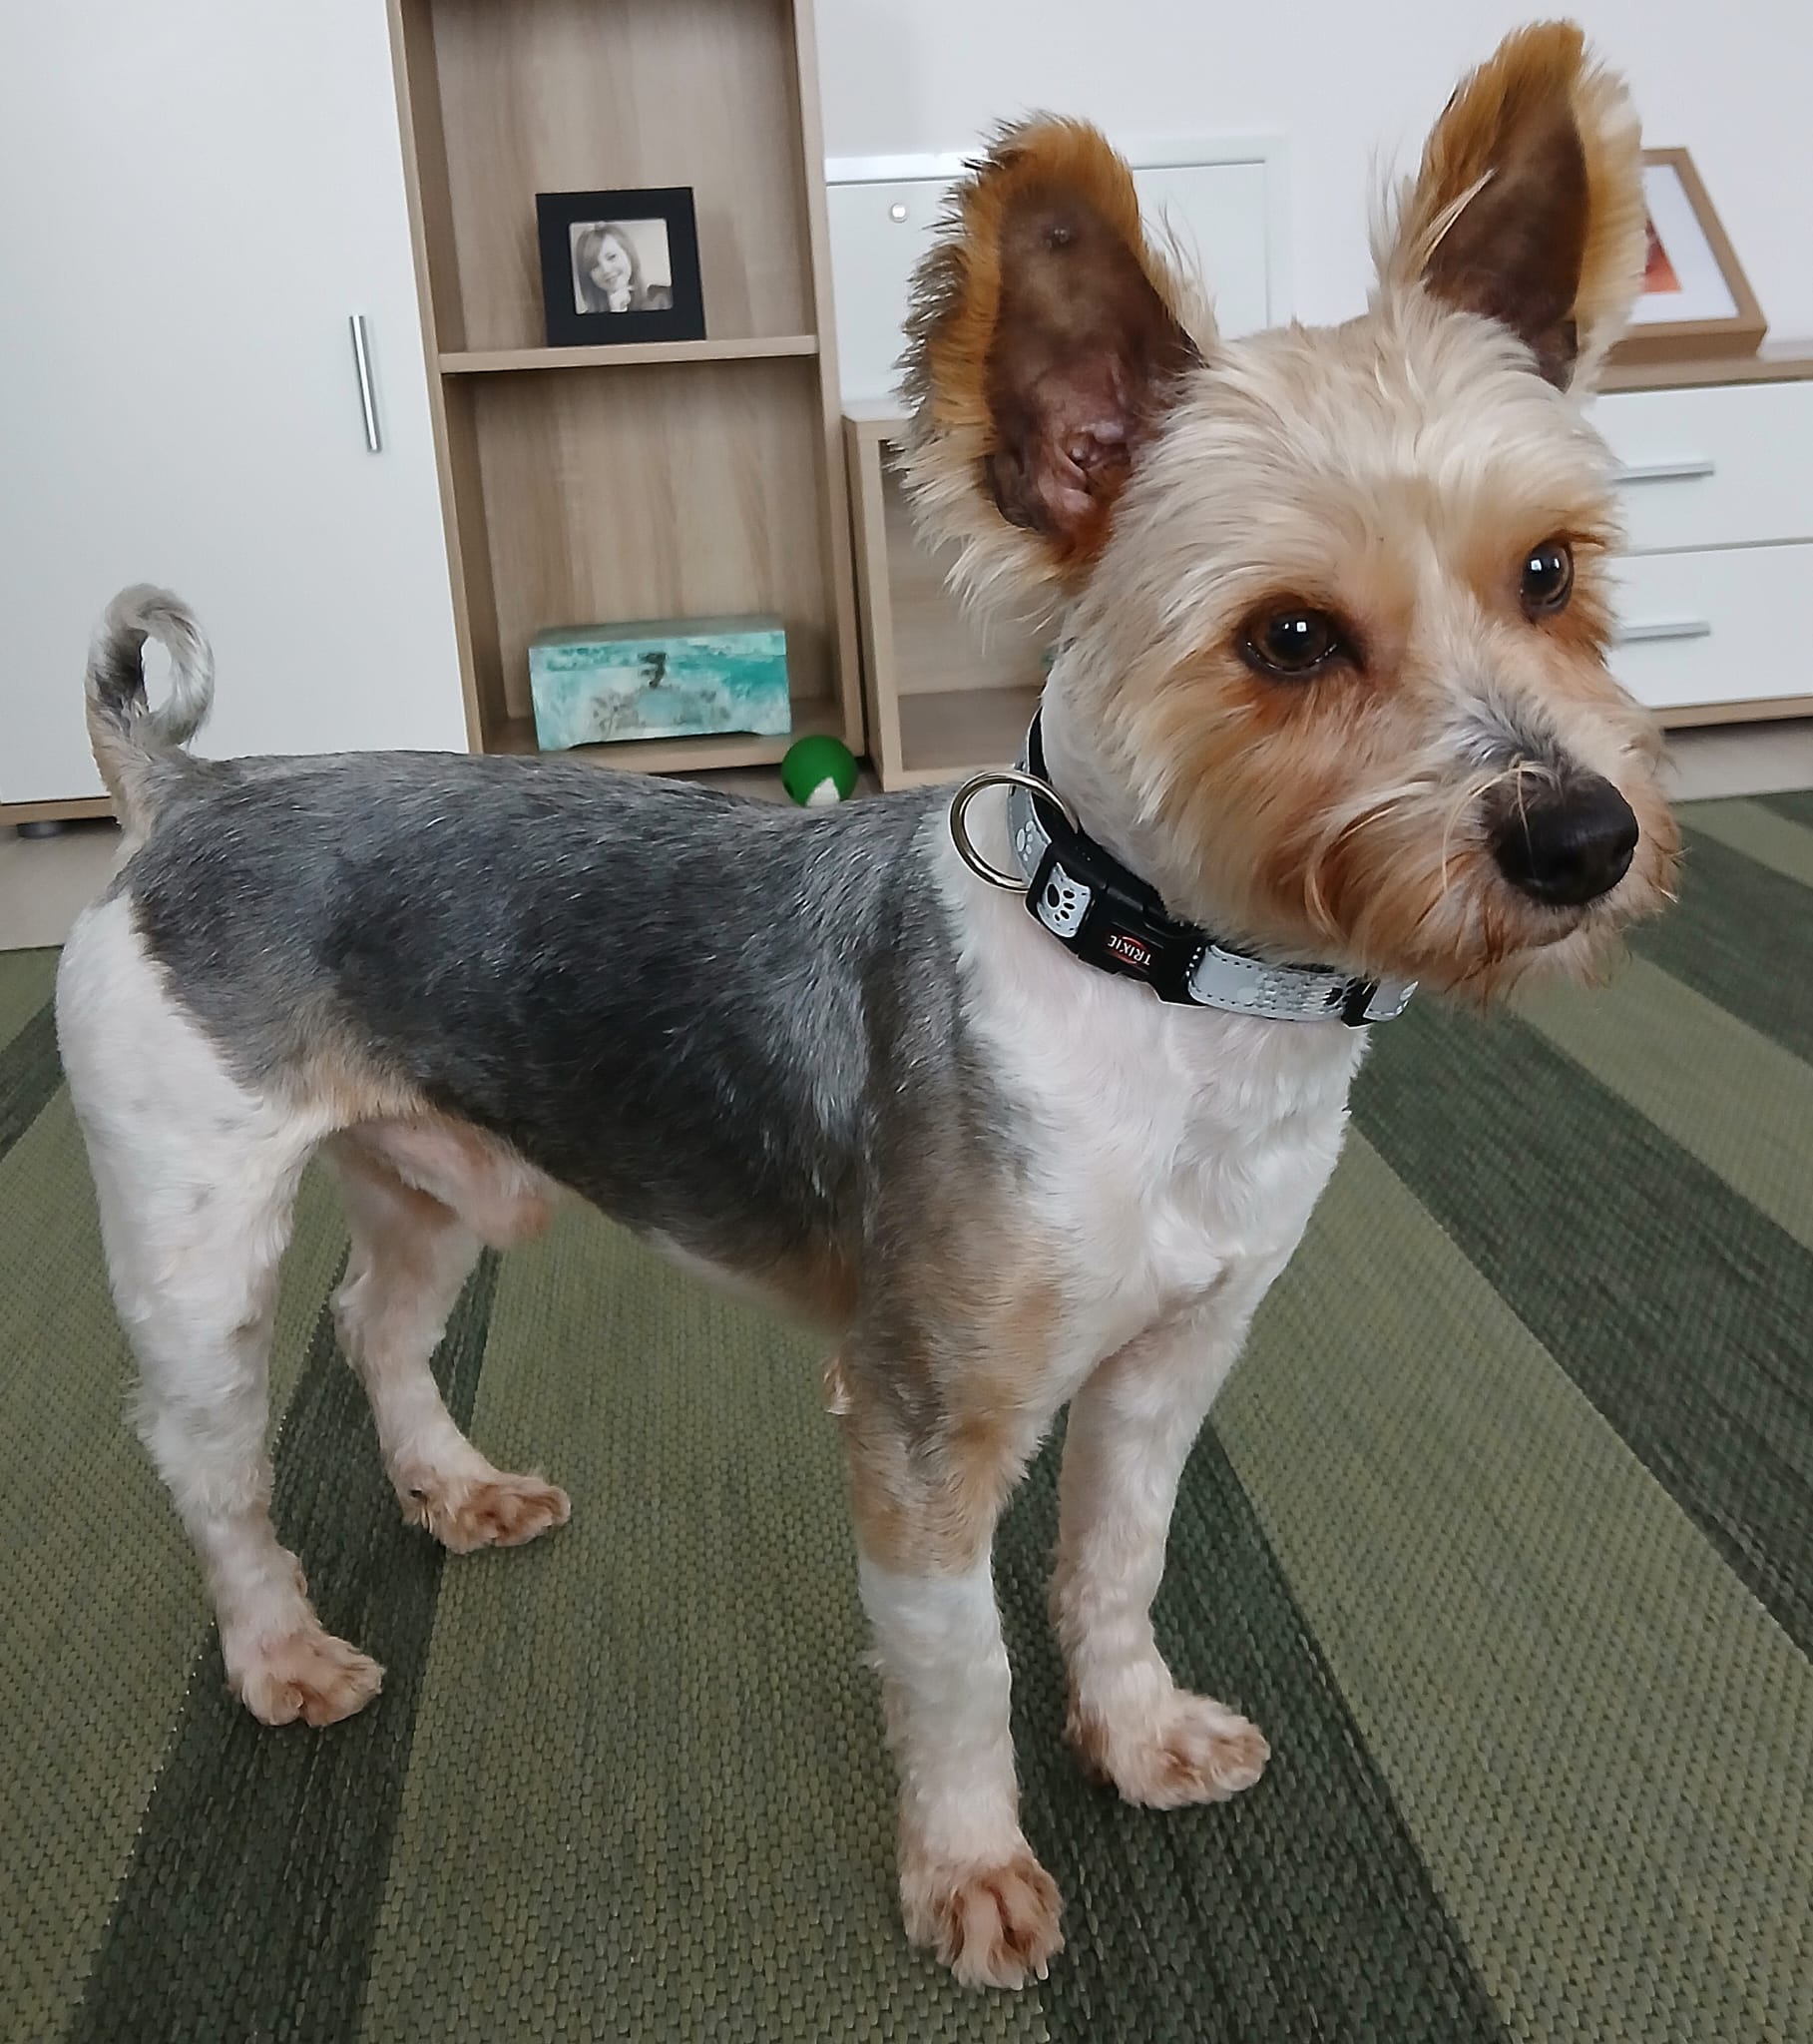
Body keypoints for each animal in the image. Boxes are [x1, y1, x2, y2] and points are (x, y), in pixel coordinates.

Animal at [57, 22, 1676, 1991]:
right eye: (1290, 640)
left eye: (1550, 574)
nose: (1581, 837)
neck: (1161, 989)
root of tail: (181, 790)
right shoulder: (923, 1423)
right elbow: (961, 1660)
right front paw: (970, 1867)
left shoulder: (1170, 1366)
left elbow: (1113, 1569)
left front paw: (1135, 1731)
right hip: (192, 1244)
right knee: (209, 1459)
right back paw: (279, 1649)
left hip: (432, 1174)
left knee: (376, 1326)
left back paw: (455, 1487)